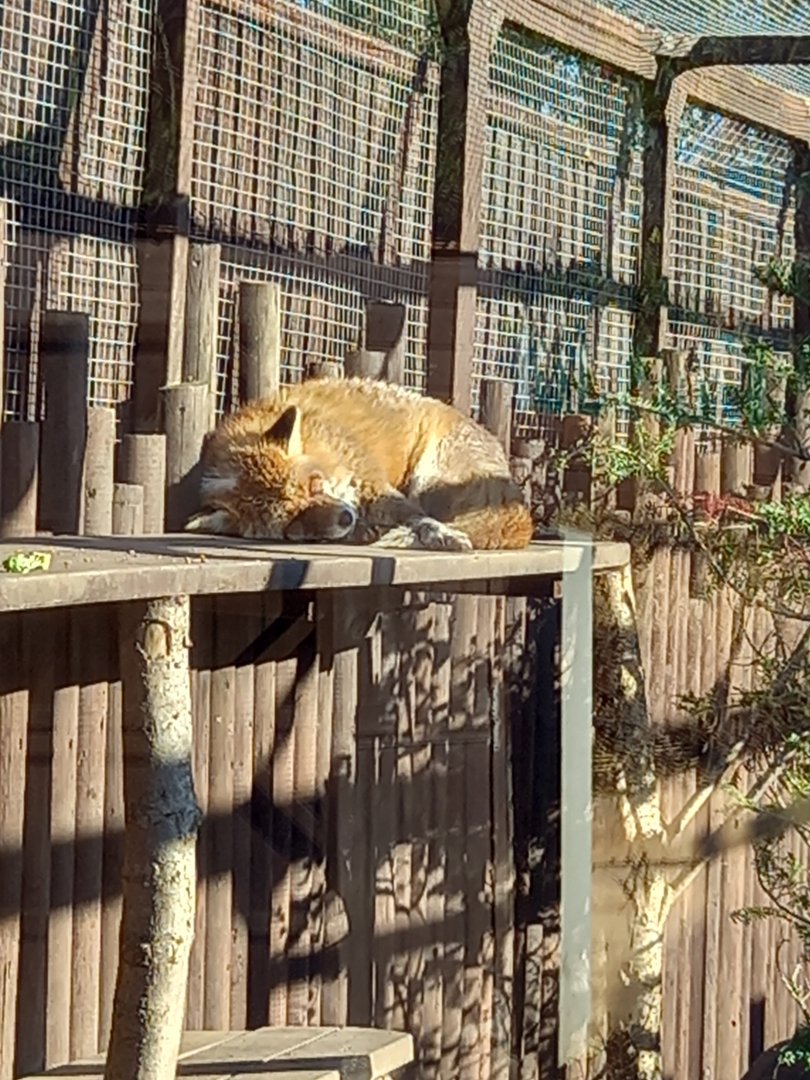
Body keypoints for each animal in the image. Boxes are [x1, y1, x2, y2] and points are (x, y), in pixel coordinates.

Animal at [184, 376, 534, 551]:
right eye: (293, 520)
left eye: (314, 485)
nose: (344, 518)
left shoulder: (376, 487)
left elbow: (419, 518)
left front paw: (440, 536)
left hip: (429, 478)